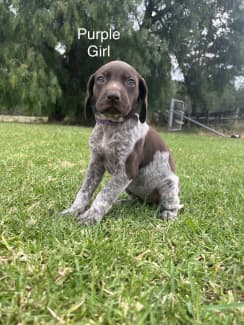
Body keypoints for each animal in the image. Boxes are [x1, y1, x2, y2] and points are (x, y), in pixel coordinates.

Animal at [61, 60, 183, 223]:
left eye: (131, 82)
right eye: (101, 79)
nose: (113, 96)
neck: (111, 126)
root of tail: (150, 201)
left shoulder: (126, 171)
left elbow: (105, 194)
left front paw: (90, 216)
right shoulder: (95, 164)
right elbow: (85, 190)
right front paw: (74, 210)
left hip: (169, 184)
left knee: (173, 204)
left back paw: (168, 213)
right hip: (130, 188)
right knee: (137, 201)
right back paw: (124, 202)